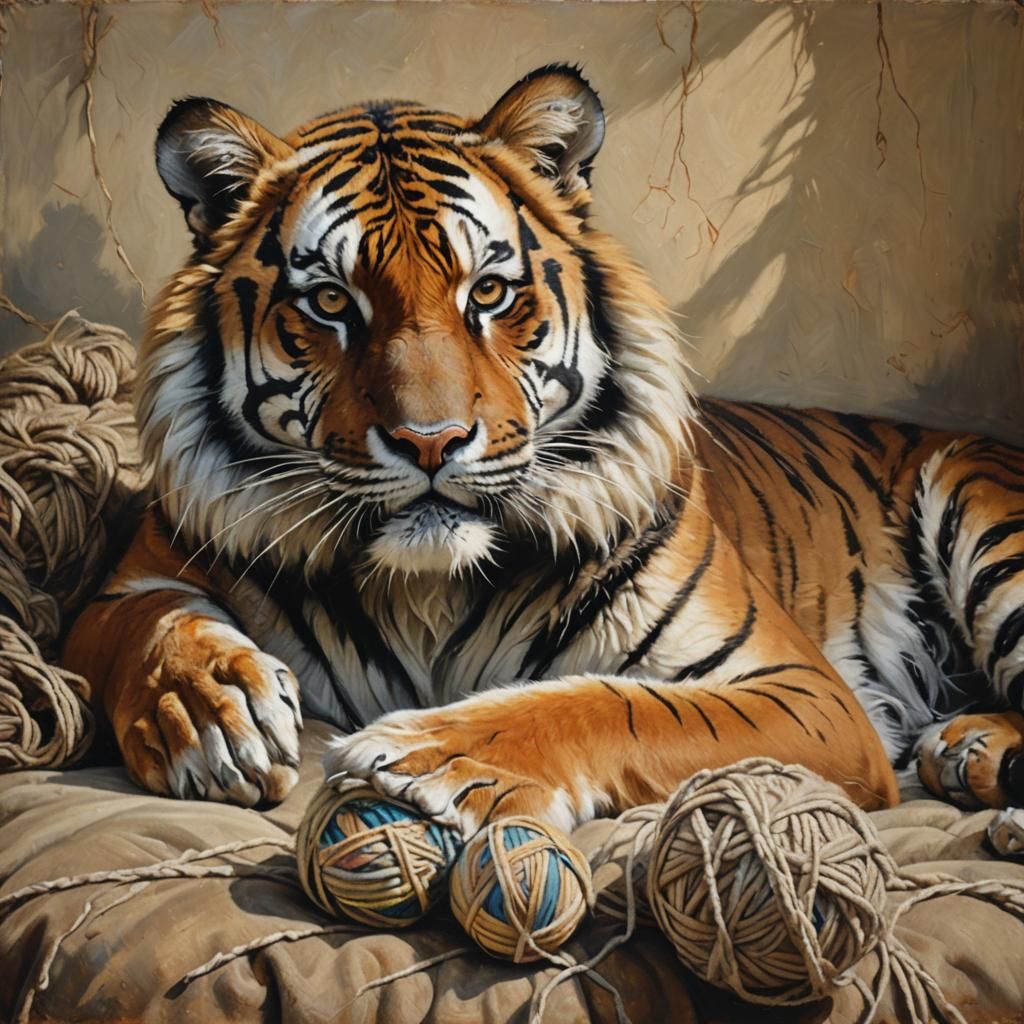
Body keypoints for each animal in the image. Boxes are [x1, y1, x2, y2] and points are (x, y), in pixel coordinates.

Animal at [64, 64, 1024, 838]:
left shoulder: (804, 692)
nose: (430, 442)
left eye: (488, 292)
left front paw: (429, 753)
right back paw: (970, 747)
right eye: (332, 302)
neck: (427, 590)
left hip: (978, 505)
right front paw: (211, 714)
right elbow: (144, 627)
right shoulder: (126, 581)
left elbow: (621, 707)